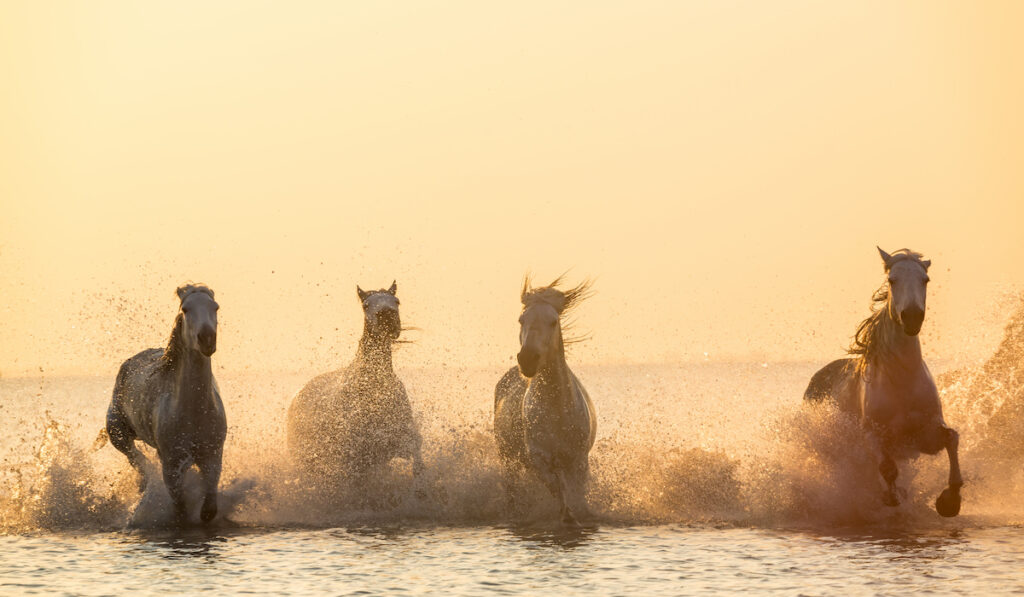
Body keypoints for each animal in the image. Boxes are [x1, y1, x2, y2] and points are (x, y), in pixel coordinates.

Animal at [103, 284, 224, 524]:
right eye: (185, 309)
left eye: (215, 307)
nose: (207, 339)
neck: (194, 412)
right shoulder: (171, 463)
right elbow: (180, 508)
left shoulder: (213, 456)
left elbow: (208, 509)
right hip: (116, 431)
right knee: (135, 457)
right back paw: (143, 484)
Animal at [284, 282, 423, 487]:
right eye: (366, 305)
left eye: (396, 301)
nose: (386, 317)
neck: (373, 387)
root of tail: (296, 396)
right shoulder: (353, 454)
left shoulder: (396, 440)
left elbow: (415, 448)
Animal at [491, 272, 598, 524]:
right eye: (521, 320)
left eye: (553, 322)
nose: (528, 359)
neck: (557, 409)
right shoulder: (540, 459)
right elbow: (557, 490)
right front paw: (567, 516)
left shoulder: (578, 460)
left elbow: (575, 492)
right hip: (507, 458)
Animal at [802, 247, 962, 518]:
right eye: (892, 280)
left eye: (925, 279)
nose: (912, 317)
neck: (901, 380)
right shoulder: (874, 436)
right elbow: (887, 467)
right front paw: (891, 497)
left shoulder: (924, 435)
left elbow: (952, 437)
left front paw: (950, 500)